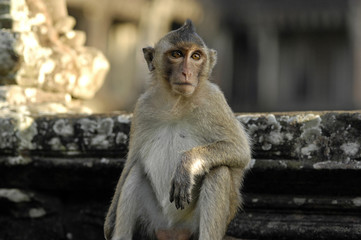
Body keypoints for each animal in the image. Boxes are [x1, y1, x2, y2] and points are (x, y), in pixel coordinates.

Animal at [104, 19, 250, 240]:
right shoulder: (142, 107)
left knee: (219, 171)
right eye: (177, 54)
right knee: (136, 171)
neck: (176, 101)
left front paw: (186, 165)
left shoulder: (214, 100)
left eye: (196, 56)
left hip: (191, 225)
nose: (186, 72)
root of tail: (172, 232)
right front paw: (108, 223)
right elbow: (131, 162)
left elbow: (239, 150)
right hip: (154, 223)